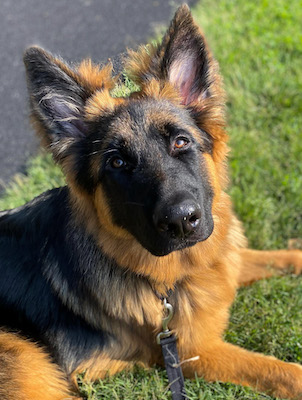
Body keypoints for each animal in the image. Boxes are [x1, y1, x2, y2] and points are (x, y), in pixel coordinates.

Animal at [0, 3, 302, 400]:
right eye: (117, 163)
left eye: (180, 142)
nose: (180, 221)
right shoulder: (195, 353)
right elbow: (281, 371)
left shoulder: (227, 261)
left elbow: (280, 258)